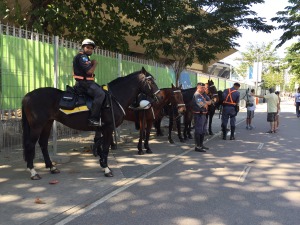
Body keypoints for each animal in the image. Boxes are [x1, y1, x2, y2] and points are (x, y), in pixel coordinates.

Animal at [22, 67, 161, 179]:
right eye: (150, 81)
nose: (158, 97)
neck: (114, 98)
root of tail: (27, 96)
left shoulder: (102, 128)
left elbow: (99, 143)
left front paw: (102, 162)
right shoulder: (108, 127)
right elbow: (105, 147)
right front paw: (107, 169)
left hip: (47, 123)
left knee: (43, 143)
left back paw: (52, 167)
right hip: (37, 125)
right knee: (30, 145)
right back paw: (33, 172)